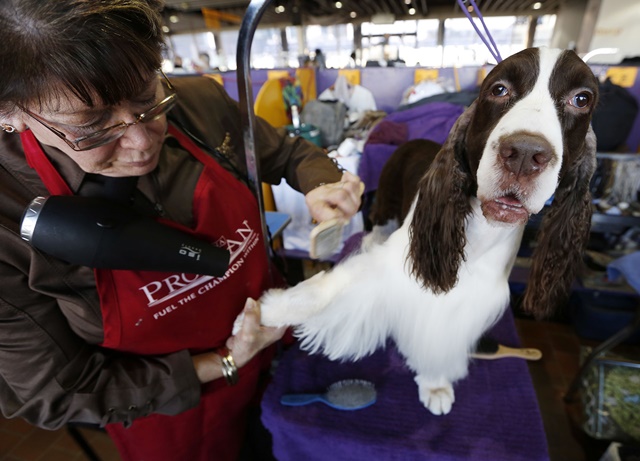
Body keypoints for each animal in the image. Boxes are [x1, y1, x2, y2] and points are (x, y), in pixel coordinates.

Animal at [240, 48, 600, 416]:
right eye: (498, 89)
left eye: (582, 99)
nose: (525, 153)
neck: (479, 234)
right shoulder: (391, 268)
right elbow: (327, 290)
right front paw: (267, 311)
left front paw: (436, 385)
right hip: (384, 205)